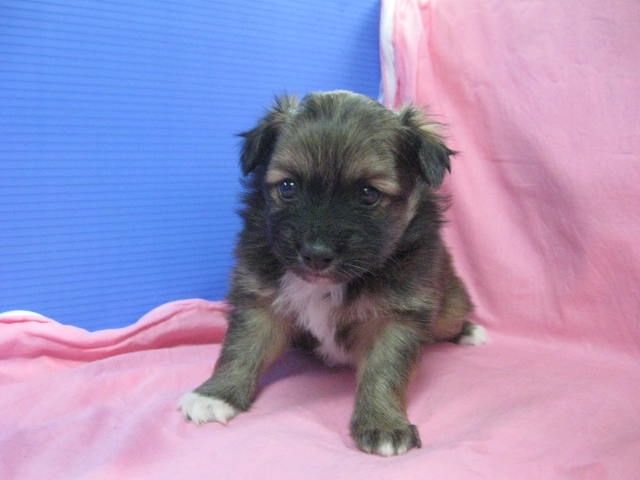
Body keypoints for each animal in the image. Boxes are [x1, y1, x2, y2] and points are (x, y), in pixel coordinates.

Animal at [179, 91, 487, 456]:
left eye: (369, 194)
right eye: (288, 187)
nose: (315, 254)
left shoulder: (398, 316)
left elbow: (385, 370)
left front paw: (383, 424)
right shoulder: (260, 300)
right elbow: (241, 347)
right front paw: (216, 394)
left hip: (447, 308)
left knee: (451, 320)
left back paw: (470, 331)